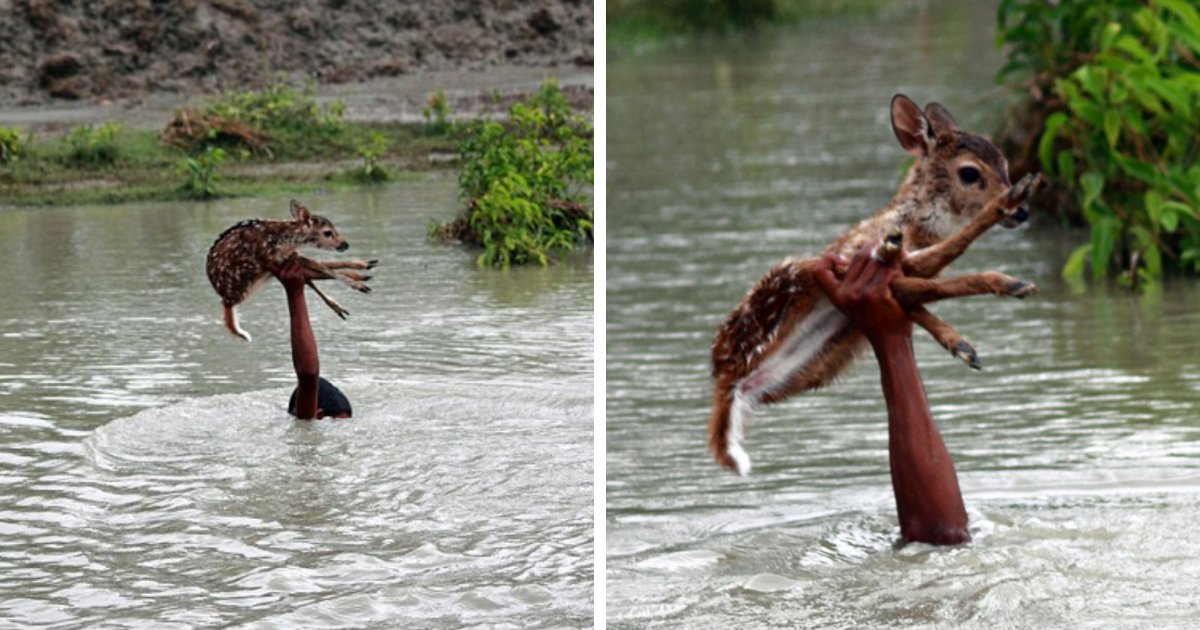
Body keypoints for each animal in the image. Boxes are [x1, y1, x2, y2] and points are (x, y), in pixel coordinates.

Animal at [205, 199, 374, 340]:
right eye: (327, 232)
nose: (345, 244)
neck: (285, 240)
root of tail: (226, 300)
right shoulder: (272, 258)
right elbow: (321, 267)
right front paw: (358, 284)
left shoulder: (288, 256)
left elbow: (320, 265)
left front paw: (361, 270)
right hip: (253, 277)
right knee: (312, 274)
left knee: (311, 274)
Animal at [710, 93, 1041, 475]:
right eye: (970, 172)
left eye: (1004, 161)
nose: (1023, 212)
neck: (915, 226)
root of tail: (728, 379)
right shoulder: (859, 260)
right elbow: (933, 275)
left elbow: (923, 294)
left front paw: (962, 345)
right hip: (790, 278)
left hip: (821, 362)